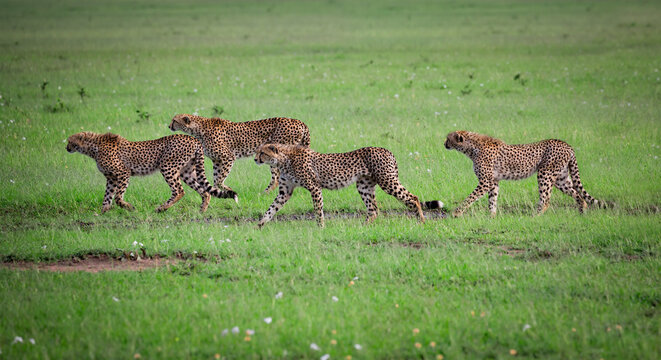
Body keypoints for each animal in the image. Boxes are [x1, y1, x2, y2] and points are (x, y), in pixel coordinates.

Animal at [66, 132, 235, 214]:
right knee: (204, 191)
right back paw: (201, 211)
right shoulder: (111, 178)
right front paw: (102, 213)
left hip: (167, 167)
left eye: (70, 141)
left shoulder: (123, 173)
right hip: (187, 172)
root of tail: (193, 139)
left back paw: (161, 208)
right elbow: (107, 197)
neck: (93, 147)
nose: (66, 148)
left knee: (179, 191)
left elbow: (118, 197)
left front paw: (130, 208)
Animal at [166, 114, 308, 197]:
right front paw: (222, 192)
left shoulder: (228, 157)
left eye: (174, 120)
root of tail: (299, 122)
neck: (198, 128)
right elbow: (216, 179)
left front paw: (228, 190)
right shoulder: (216, 160)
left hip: (275, 156)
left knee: (276, 179)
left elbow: (219, 179)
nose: (168, 125)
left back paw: (263, 194)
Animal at [255, 143, 440, 228]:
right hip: (364, 186)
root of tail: (386, 150)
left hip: (387, 181)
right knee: (374, 209)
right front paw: (260, 225)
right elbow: (271, 209)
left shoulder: (314, 187)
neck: (283, 160)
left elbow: (318, 210)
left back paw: (422, 221)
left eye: (262, 153)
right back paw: (363, 227)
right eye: (257, 151)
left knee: (413, 197)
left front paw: (320, 227)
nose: (255, 159)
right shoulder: (284, 192)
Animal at [444, 130, 600, 217]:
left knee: (546, 200)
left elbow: (470, 198)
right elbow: (492, 200)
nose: (444, 144)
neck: (470, 147)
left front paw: (456, 213)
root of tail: (566, 144)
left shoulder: (485, 182)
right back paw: (581, 213)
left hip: (545, 174)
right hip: (561, 178)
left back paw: (535, 216)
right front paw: (491, 217)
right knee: (578, 195)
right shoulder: (493, 182)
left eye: (448, 138)